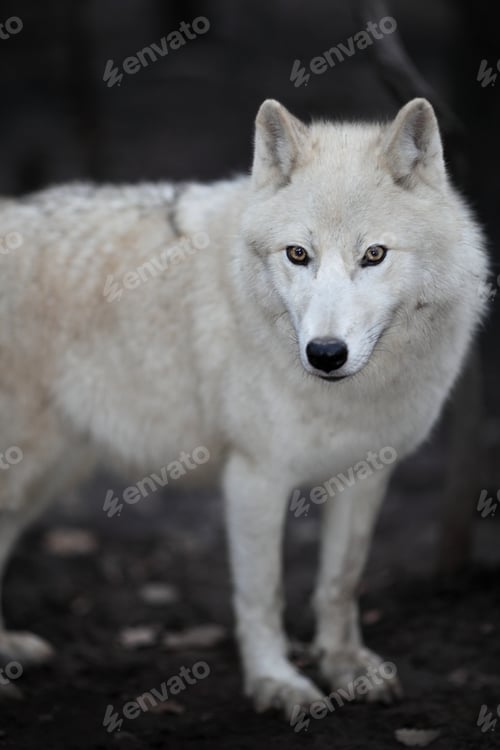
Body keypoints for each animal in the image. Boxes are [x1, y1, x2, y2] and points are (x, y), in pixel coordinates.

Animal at [0, 98, 488, 716]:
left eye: (374, 254)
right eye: (298, 254)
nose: (325, 353)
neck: (346, 397)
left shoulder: (366, 471)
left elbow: (341, 581)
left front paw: (344, 665)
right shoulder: (255, 477)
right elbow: (264, 593)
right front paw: (276, 682)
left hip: (44, 477)